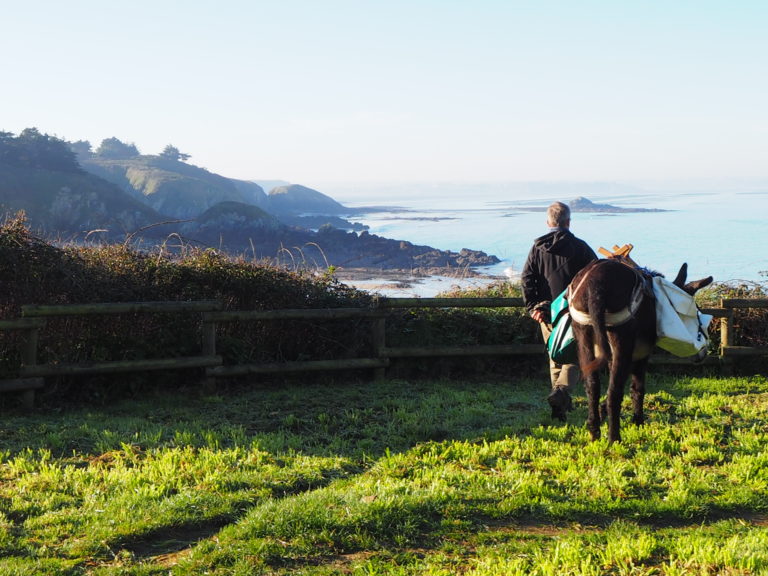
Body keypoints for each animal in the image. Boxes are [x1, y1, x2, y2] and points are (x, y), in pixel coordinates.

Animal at [563, 257, 712, 443]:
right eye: (697, 314)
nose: (704, 354)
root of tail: (594, 283)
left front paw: (603, 412)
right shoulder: (641, 354)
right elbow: (637, 388)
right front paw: (638, 422)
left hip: (583, 336)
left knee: (592, 386)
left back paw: (594, 433)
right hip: (620, 337)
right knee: (614, 393)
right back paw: (614, 439)